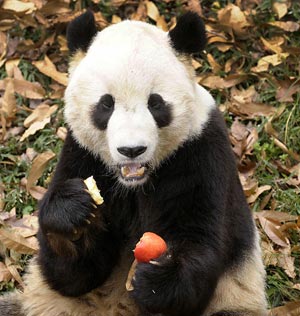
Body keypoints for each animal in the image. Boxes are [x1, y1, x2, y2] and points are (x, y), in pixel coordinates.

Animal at [0, 9, 268, 316]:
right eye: (106, 104)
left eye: (155, 103)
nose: (132, 150)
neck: (134, 184)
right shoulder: (81, 153)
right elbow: (70, 275)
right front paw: (73, 212)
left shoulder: (201, 154)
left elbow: (201, 242)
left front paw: (156, 280)